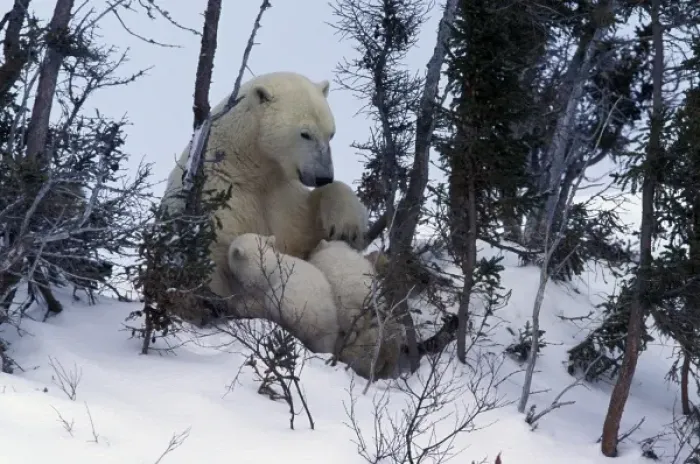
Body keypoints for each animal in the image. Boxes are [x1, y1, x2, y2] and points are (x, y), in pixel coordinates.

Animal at [161, 71, 369, 323]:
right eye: (305, 134)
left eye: (331, 133)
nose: (323, 176)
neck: (250, 168)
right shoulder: (222, 196)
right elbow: (217, 257)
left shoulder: (282, 195)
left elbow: (304, 228)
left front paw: (347, 227)